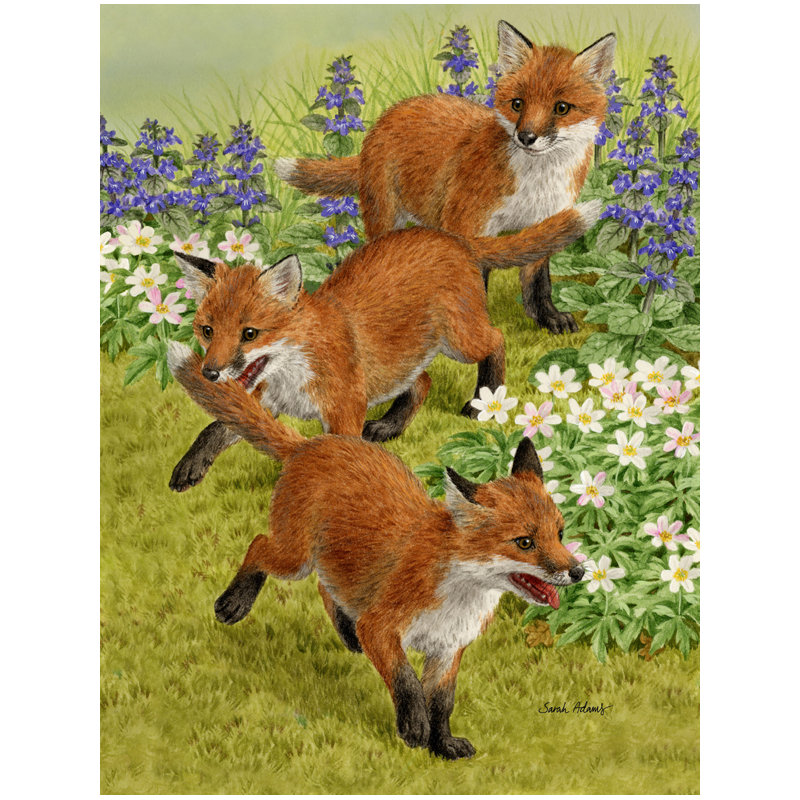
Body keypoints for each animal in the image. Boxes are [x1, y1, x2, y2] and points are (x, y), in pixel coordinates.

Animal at [166, 343, 586, 759]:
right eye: (525, 542)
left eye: (560, 533)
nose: (578, 571)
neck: (460, 592)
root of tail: (313, 444)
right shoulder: (382, 627)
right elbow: (406, 680)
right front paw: (414, 727)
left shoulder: (448, 649)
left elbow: (443, 703)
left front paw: (443, 744)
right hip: (294, 558)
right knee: (259, 546)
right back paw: (234, 603)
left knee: (326, 587)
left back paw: (345, 634)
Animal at [168, 205, 600, 492]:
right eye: (207, 331)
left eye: (249, 334)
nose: (209, 373)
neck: (292, 374)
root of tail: (452, 239)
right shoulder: (267, 402)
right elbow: (216, 428)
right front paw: (189, 468)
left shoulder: (344, 408)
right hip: (406, 360)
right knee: (423, 383)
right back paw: (391, 425)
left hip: (460, 340)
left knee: (496, 340)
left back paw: (484, 398)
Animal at [275, 20, 615, 334]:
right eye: (517, 104)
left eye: (562, 108)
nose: (526, 137)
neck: (535, 182)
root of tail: (390, 113)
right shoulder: (465, 223)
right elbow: (475, 280)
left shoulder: (545, 221)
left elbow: (538, 284)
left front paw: (548, 319)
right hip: (386, 216)